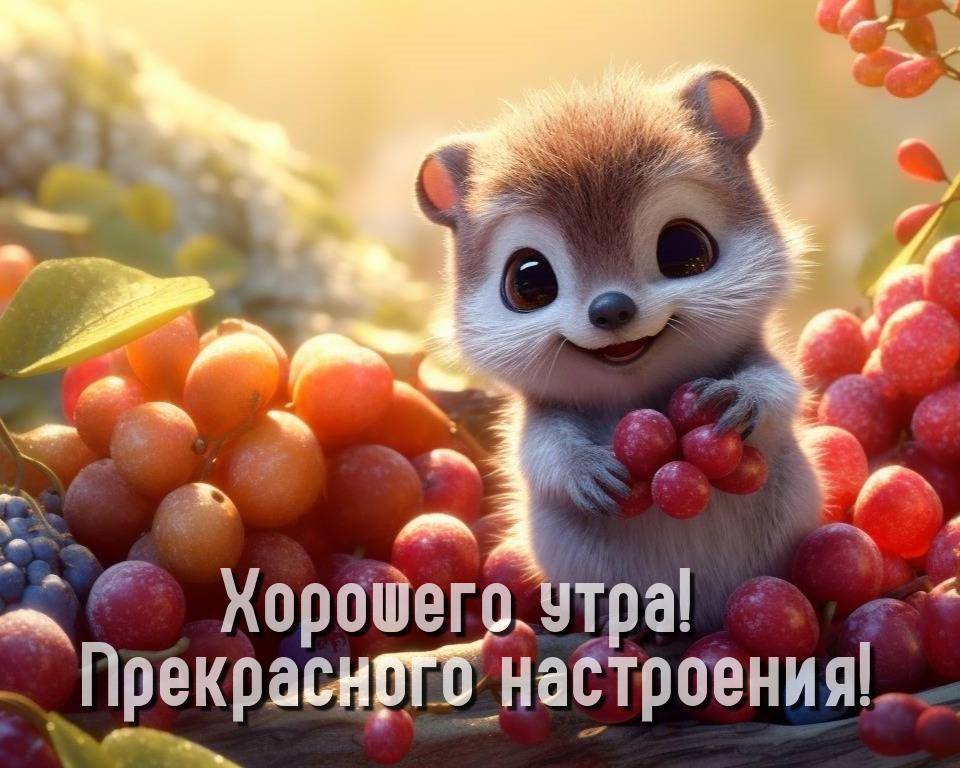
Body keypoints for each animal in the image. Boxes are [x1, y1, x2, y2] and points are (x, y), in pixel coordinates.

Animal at [414, 67, 821, 632]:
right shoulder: (539, 414)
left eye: (684, 248)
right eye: (528, 281)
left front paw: (741, 400)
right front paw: (587, 471)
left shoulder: (763, 361)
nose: (610, 309)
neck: (638, 389)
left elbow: (780, 389)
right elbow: (538, 451)